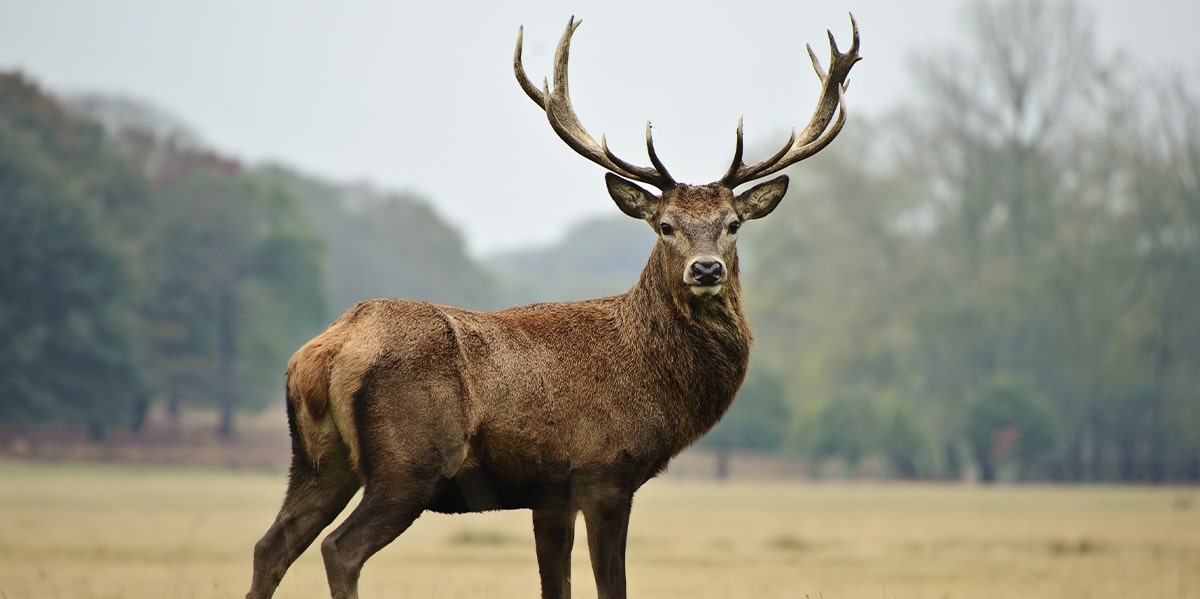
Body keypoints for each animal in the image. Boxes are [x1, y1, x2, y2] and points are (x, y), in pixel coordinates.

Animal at [248, 14, 859, 599]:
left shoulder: (549, 493)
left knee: (270, 546)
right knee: (339, 549)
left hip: (319, 461)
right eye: (665, 225)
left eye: (733, 224)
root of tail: (324, 352)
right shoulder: (603, 472)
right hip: (409, 463)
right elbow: (611, 586)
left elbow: (554, 585)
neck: (654, 382)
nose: (706, 269)